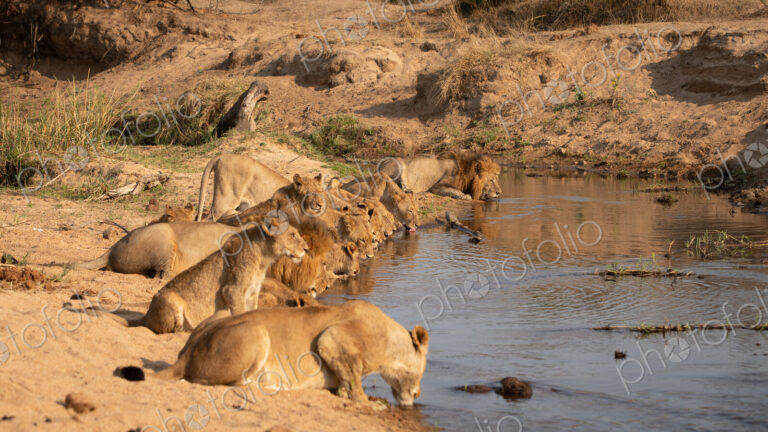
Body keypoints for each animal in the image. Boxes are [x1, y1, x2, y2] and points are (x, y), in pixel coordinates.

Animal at [151, 300, 429, 406]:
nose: (418, 394)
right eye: (422, 370)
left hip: (221, 313)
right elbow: (355, 384)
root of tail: (186, 356)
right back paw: (272, 384)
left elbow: (346, 380)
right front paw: (372, 404)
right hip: (256, 331)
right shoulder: (332, 338)